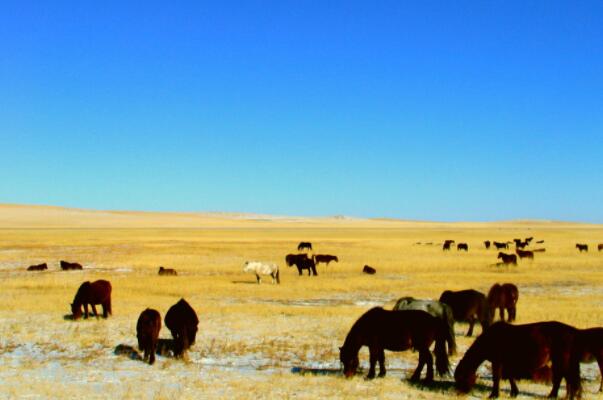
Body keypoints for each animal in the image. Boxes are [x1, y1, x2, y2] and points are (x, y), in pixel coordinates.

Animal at [456, 320, 584, 398]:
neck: (490, 338)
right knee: (566, 378)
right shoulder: (506, 363)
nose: (460, 393)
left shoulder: (497, 362)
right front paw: (514, 392)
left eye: (462, 377)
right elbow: (510, 377)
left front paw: (494, 395)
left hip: (561, 360)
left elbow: (496, 378)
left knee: (565, 377)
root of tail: (572, 332)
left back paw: (556, 396)